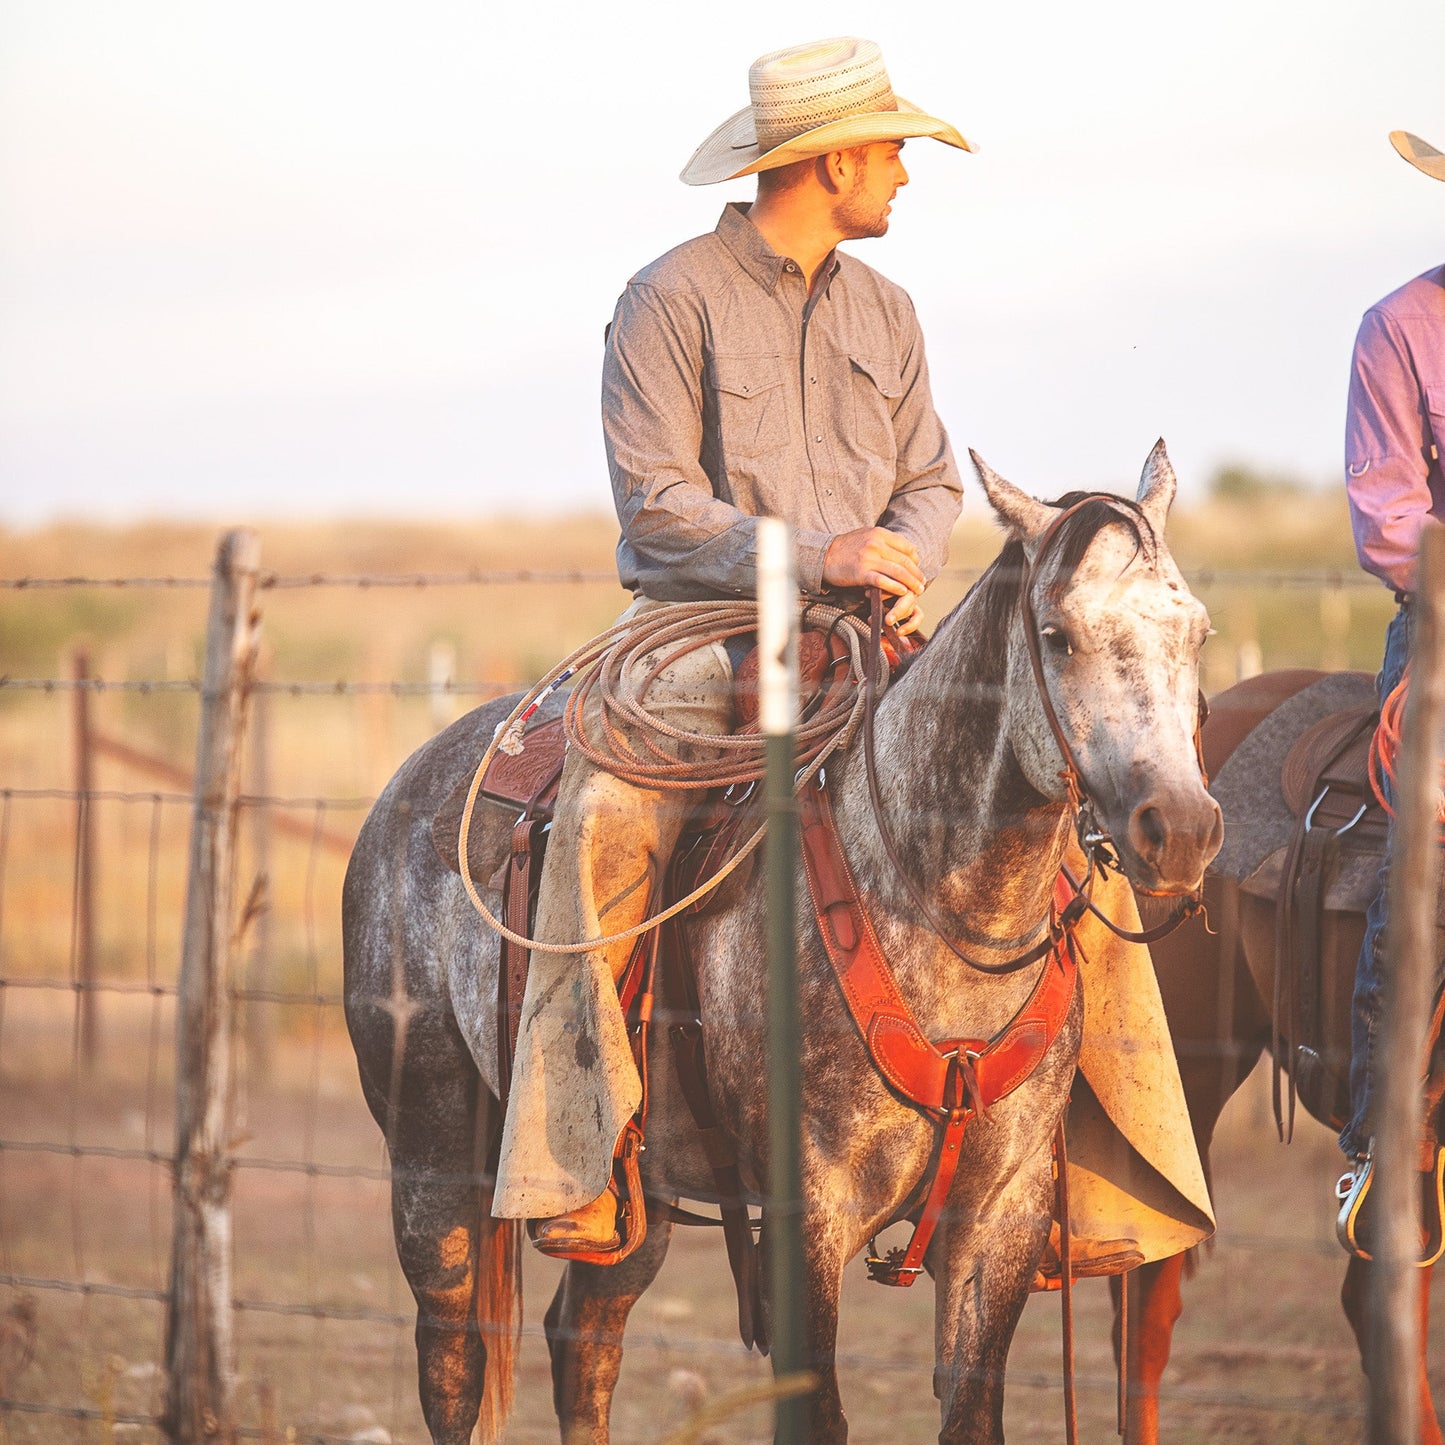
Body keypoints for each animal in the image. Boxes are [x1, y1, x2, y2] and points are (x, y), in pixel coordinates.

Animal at [338, 445, 1219, 1439]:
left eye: (1194, 632)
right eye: (1057, 634)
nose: (1180, 830)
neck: (940, 914)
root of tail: (407, 784)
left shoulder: (1000, 1220)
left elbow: (970, 1412)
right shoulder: (810, 1217)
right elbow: (814, 1413)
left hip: (639, 1188)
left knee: (583, 1338)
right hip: (432, 1149)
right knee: (453, 1358)